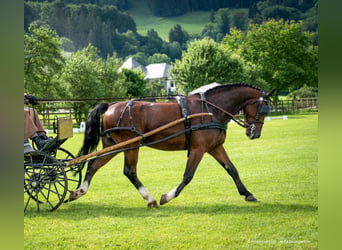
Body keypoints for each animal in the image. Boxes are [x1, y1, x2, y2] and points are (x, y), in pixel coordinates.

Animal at [68, 82, 274, 207]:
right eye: (263, 109)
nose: (254, 133)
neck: (210, 109)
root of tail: (111, 106)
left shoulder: (214, 147)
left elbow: (232, 169)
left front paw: (247, 193)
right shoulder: (198, 149)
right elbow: (188, 175)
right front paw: (167, 196)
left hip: (114, 146)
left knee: (93, 164)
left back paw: (79, 191)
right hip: (130, 145)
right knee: (129, 171)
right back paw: (150, 198)